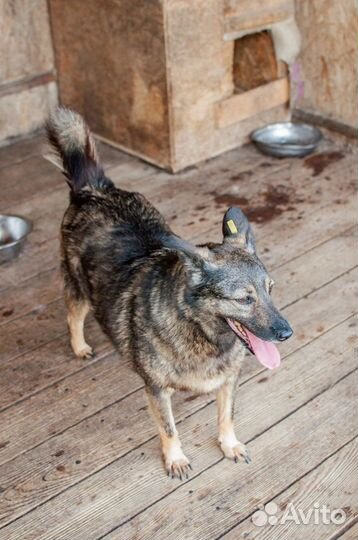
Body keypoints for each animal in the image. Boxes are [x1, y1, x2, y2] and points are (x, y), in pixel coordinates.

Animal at [46, 107, 292, 478]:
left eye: (270, 290)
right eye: (244, 299)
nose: (287, 333)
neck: (201, 333)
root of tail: (95, 189)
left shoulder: (229, 381)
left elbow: (227, 416)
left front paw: (229, 445)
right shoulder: (157, 389)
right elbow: (169, 428)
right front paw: (175, 459)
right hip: (78, 287)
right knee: (73, 316)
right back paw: (80, 347)